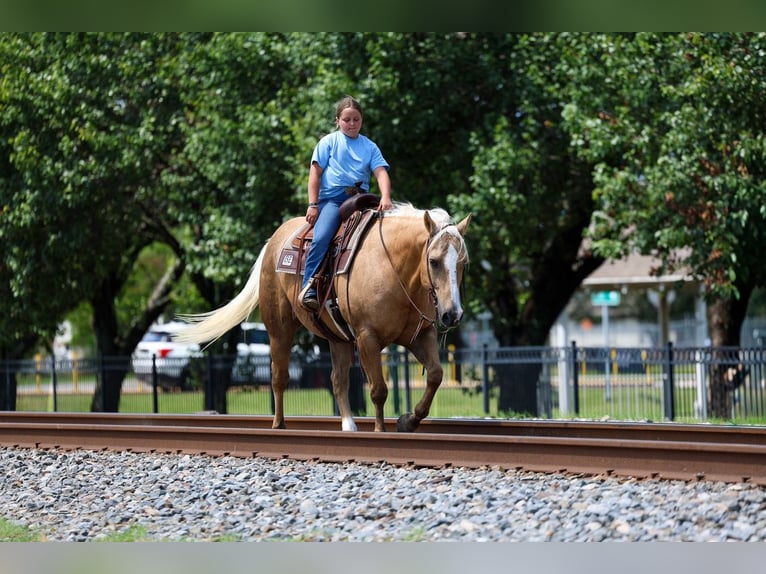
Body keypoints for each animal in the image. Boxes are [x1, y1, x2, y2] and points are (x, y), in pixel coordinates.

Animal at [175, 202, 471, 433]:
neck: (395, 268)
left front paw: (408, 420)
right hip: (279, 330)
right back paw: (278, 425)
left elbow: (435, 375)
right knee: (279, 376)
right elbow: (378, 389)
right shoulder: (367, 338)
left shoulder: (420, 335)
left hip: (337, 338)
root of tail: (274, 241)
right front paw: (380, 430)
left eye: (462, 263)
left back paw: (349, 425)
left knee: (337, 380)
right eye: (433, 261)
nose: (452, 314)